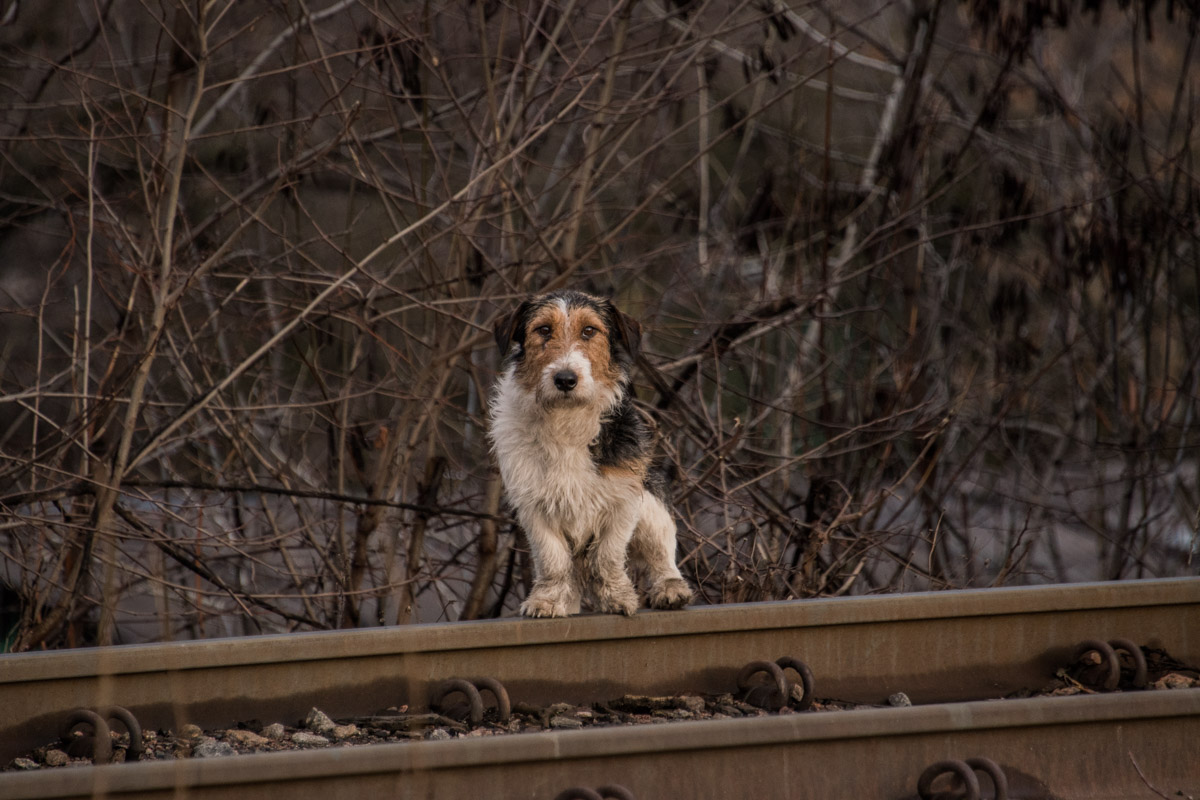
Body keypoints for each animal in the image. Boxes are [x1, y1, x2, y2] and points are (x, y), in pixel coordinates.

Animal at [487, 291, 696, 618]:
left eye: (589, 331)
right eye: (543, 330)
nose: (565, 379)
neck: (566, 419)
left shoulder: (623, 500)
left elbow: (607, 556)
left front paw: (617, 598)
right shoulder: (534, 507)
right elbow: (553, 559)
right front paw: (547, 601)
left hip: (652, 506)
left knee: (661, 553)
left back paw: (671, 590)